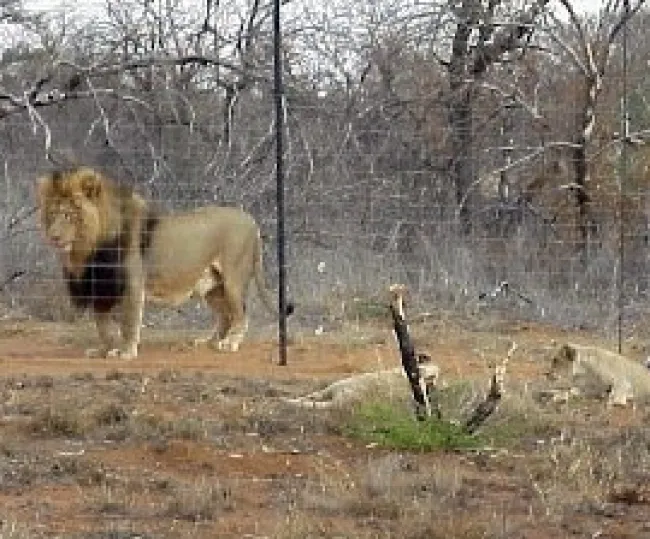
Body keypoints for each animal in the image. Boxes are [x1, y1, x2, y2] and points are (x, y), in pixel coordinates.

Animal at [37, 166, 293, 359]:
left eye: (69, 215)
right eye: (52, 214)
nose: (53, 236)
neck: (88, 249)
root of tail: (252, 221)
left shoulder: (131, 284)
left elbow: (128, 321)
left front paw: (126, 352)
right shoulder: (101, 285)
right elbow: (102, 324)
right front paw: (104, 349)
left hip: (233, 280)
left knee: (240, 314)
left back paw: (229, 343)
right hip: (211, 286)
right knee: (224, 315)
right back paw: (208, 341)